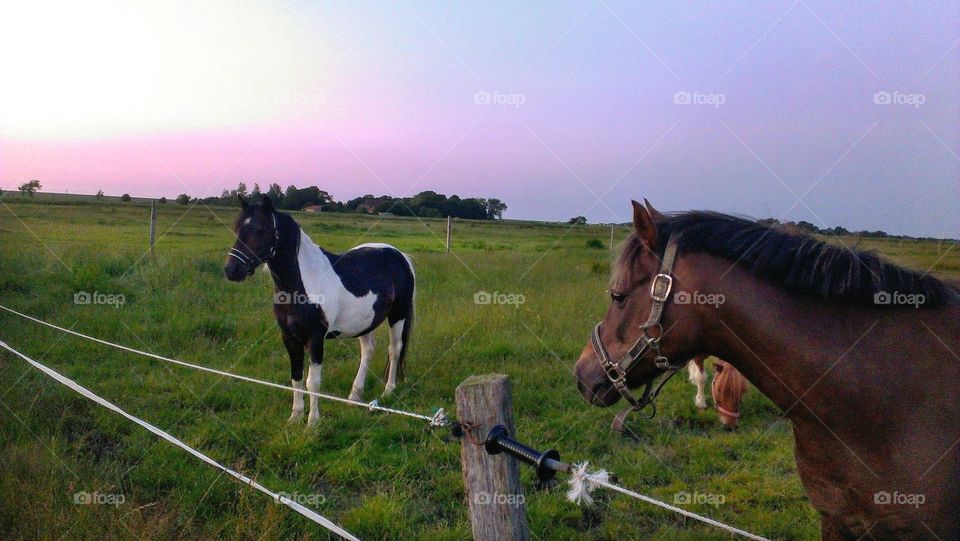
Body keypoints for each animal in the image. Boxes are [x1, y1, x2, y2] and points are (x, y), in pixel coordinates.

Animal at [223, 196, 414, 424]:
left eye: (261, 230)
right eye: (237, 228)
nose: (231, 270)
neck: (302, 284)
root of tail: (400, 256)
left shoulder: (315, 338)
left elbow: (312, 382)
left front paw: (312, 422)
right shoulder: (289, 337)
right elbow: (296, 377)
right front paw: (295, 417)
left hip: (398, 315)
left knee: (394, 350)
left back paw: (388, 391)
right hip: (365, 322)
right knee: (368, 351)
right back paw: (354, 396)